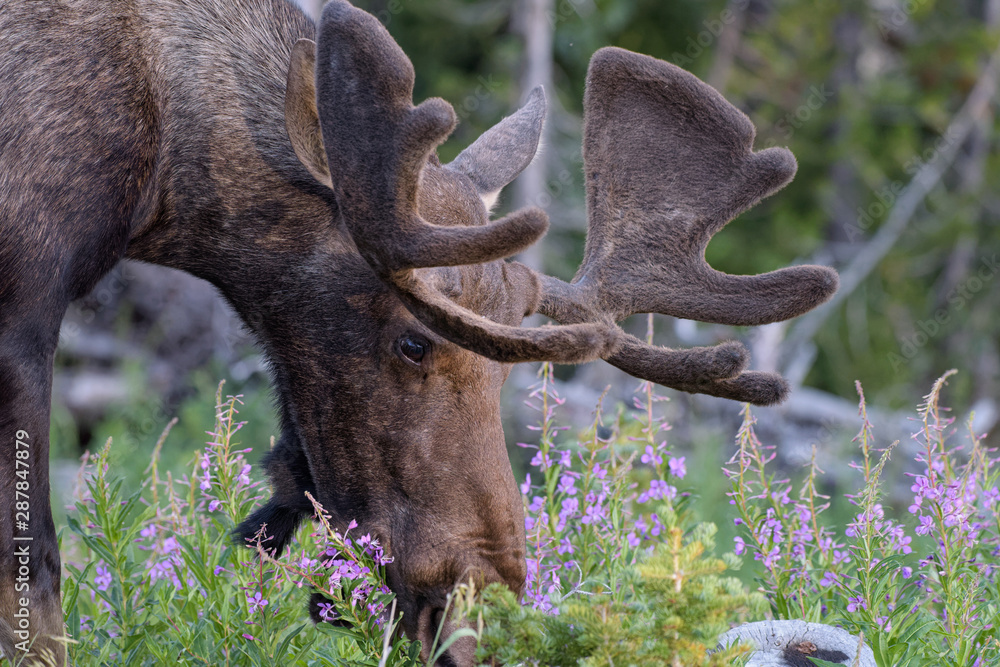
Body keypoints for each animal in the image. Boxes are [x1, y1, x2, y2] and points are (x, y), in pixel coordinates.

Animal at [0, 0, 840, 664]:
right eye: (414, 340)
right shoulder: (24, 302)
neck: (154, 194)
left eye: (504, 372)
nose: (482, 608)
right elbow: (35, 563)